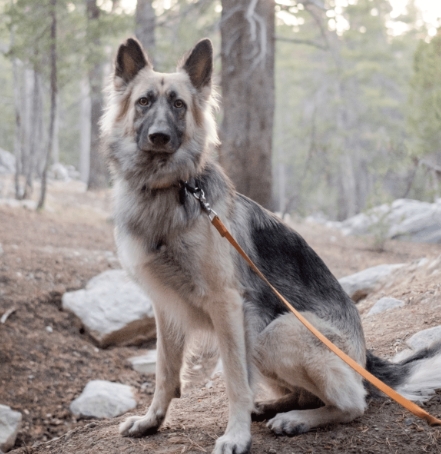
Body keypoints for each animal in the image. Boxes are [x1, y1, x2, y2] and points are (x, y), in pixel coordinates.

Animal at [101, 38, 440, 454]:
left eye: (178, 104)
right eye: (144, 102)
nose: (160, 137)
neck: (169, 191)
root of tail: (364, 359)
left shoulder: (227, 305)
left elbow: (234, 380)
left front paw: (236, 435)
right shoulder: (166, 309)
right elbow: (166, 373)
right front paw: (152, 421)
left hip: (273, 334)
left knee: (353, 403)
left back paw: (297, 419)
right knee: (307, 394)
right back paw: (273, 408)